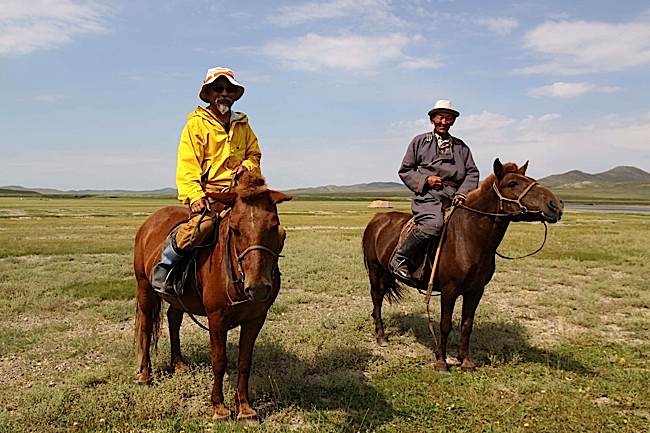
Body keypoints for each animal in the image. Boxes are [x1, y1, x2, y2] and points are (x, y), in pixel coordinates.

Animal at [133, 170, 290, 420]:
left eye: (274, 226)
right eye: (235, 228)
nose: (257, 287)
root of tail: (150, 222)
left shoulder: (256, 319)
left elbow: (244, 361)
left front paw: (245, 408)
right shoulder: (217, 319)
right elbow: (219, 361)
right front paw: (219, 407)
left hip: (178, 298)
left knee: (173, 319)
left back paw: (178, 364)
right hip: (145, 289)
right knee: (146, 328)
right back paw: (145, 375)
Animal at [362, 159, 560, 372]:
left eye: (530, 179)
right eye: (513, 183)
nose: (556, 205)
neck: (469, 237)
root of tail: (377, 218)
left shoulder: (475, 291)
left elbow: (467, 325)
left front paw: (465, 361)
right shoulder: (449, 291)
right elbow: (445, 325)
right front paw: (441, 361)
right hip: (375, 270)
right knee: (377, 298)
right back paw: (381, 336)